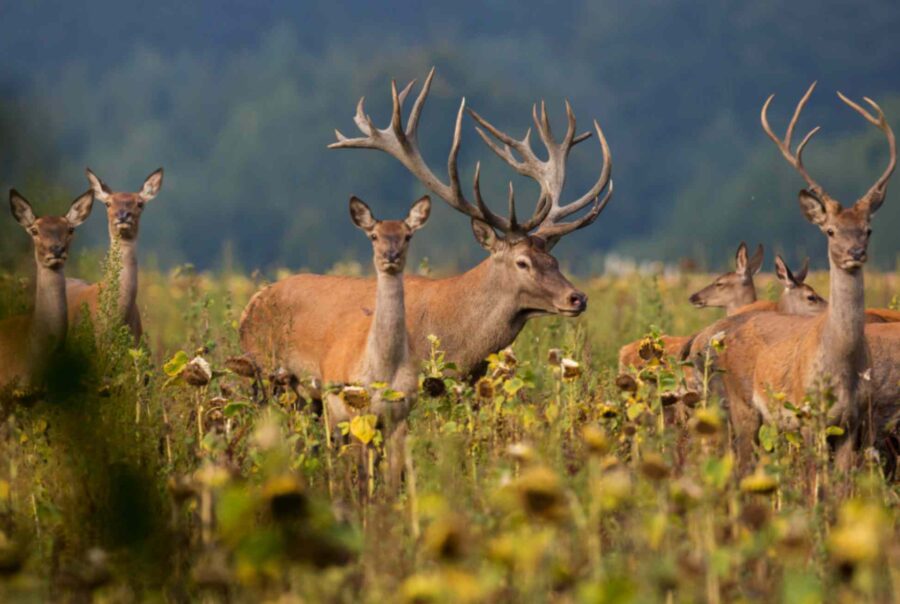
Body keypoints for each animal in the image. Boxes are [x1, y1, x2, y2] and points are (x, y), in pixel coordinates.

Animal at [239, 68, 612, 393]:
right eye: (522, 262)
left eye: (554, 261)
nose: (577, 297)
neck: (459, 342)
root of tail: (251, 306)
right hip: (265, 370)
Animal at [324, 195, 430, 490]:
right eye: (373, 235)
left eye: (407, 235)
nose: (390, 256)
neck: (384, 372)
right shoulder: (357, 413)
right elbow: (363, 476)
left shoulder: (399, 416)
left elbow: (392, 479)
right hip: (333, 414)